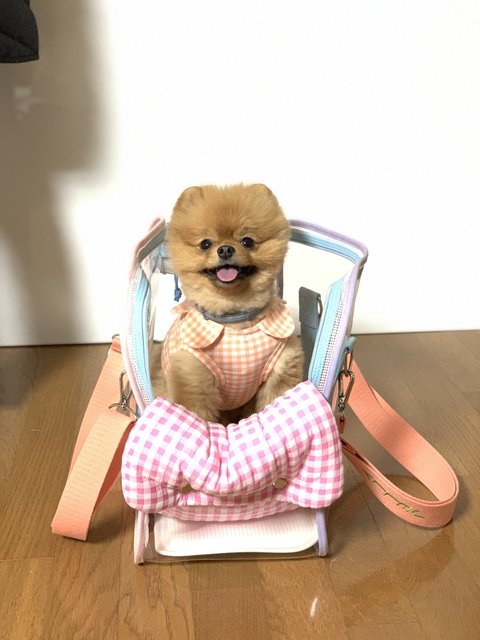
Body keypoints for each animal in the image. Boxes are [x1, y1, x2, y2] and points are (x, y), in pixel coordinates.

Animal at [152, 183, 303, 424]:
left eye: (247, 241)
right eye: (205, 244)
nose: (224, 249)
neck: (234, 320)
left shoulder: (281, 367)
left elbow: (272, 404)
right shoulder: (193, 377)